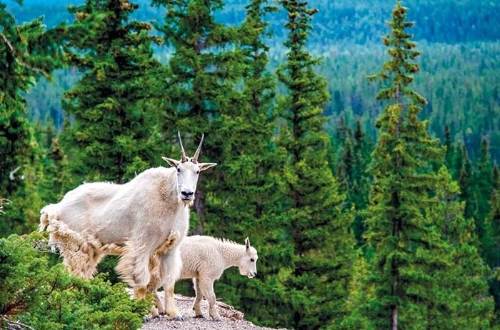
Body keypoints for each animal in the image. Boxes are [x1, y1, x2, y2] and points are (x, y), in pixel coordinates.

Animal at [37, 133, 213, 318]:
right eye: (178, 169)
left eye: (197, 171)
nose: (187, 193)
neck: (169, 200)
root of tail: (56, 208)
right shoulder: (142, 244)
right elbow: (142, 281)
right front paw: (145, 311)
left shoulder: (170, 249)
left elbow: (169, 283)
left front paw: (173, 313)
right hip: (75, 245)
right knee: (73, 273)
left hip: (91, 248)